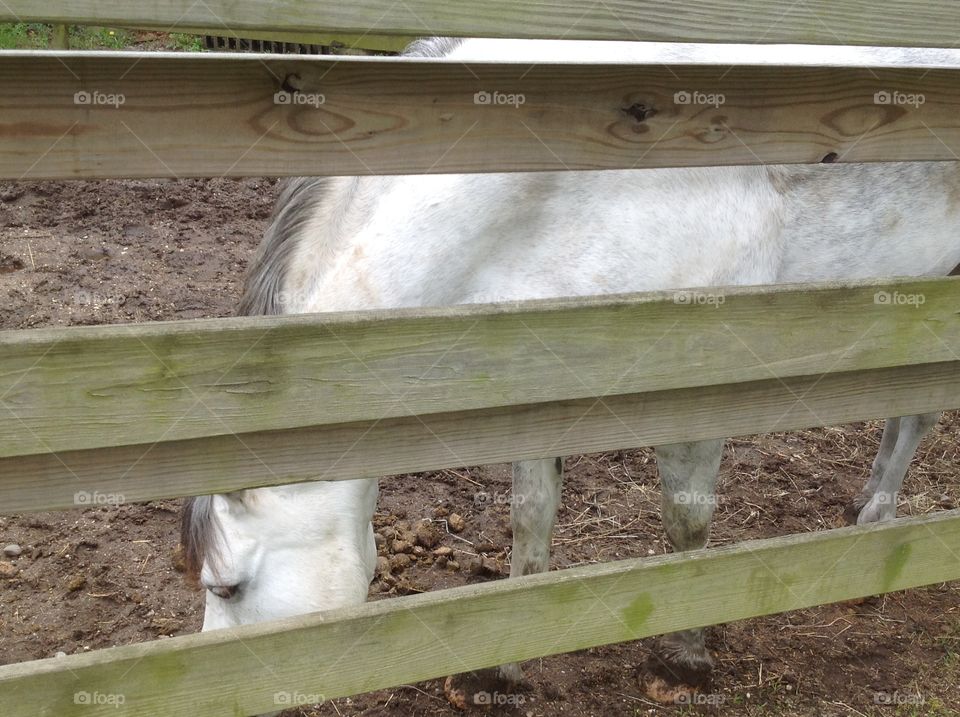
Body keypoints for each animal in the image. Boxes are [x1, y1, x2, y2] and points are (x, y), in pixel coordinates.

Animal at [182, 37, 960, 704]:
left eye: (225, 587)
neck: (556, 185)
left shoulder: (699, 389)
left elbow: (687, 524)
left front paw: (685, 655)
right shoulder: (538, 384)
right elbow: (531, 522)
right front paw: (507, 663)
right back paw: (870, 520)